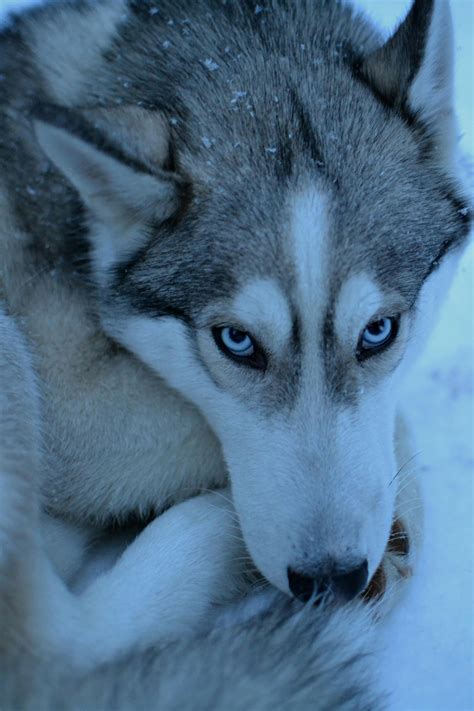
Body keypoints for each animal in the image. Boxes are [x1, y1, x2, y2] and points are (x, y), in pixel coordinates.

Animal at [0, 0, 470, 708]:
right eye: (238, 342)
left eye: (378, 331)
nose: (331, 579)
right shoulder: (70, 398)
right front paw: (399, 500)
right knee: (59, 636)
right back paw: (217, 532)